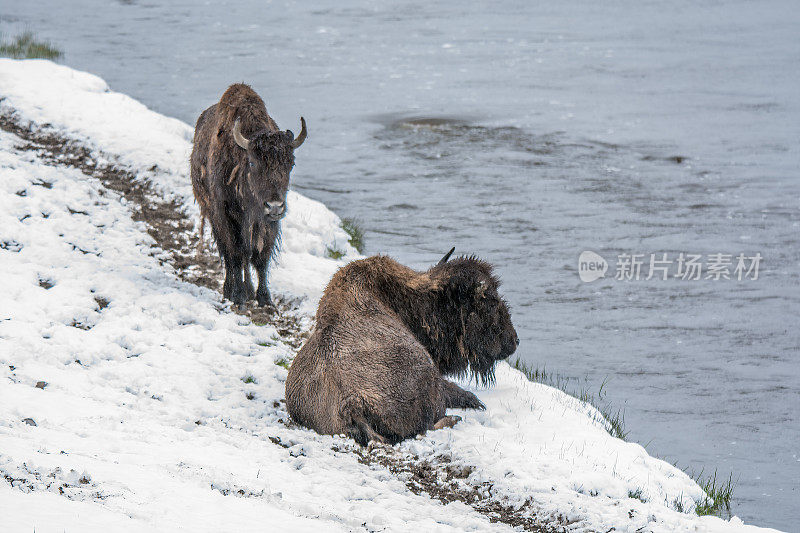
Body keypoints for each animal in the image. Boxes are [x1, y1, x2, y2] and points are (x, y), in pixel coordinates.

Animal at [191, 82, 306, 308]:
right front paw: (237, 296)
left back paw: (249, 290)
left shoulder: (267, 224)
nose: (274, 206)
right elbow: (234, 254)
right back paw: (232, 290)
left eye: (291, 163)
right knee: (230, 254)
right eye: (252, 163)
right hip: (212, 215)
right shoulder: (226, 216)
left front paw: (265, 298)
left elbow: (261, 258)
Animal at [286, 248, 520, 444]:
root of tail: (352, 404)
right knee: (427, 425)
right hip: (428, 388)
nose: (514, 341)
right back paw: (456, 418)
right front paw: (476, 402)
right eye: (490, 300)